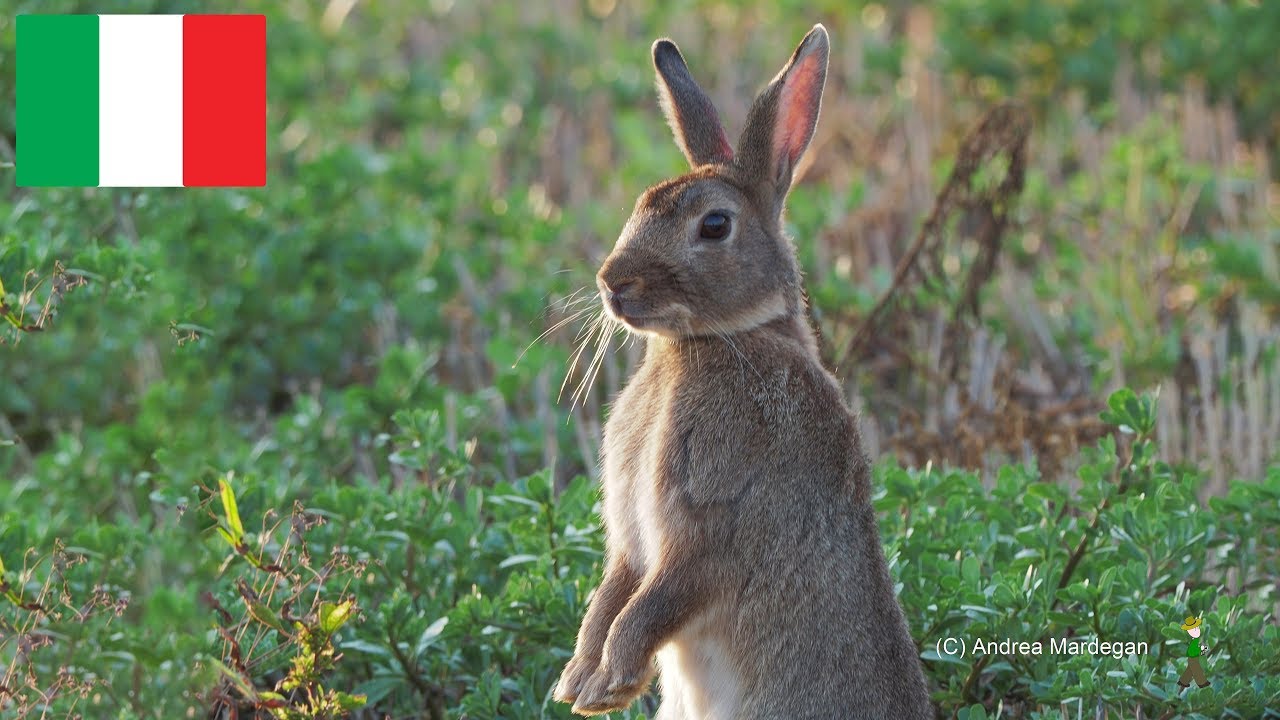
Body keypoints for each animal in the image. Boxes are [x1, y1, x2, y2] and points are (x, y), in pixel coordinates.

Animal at [553, 24, 934, 719]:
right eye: (640, 204)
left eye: (714, 225)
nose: (612, 282)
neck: (714, 340)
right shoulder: (631, 538)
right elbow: (614, 589)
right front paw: (581, 682)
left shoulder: (714, 519)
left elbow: (659, 597)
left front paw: (609, 682)